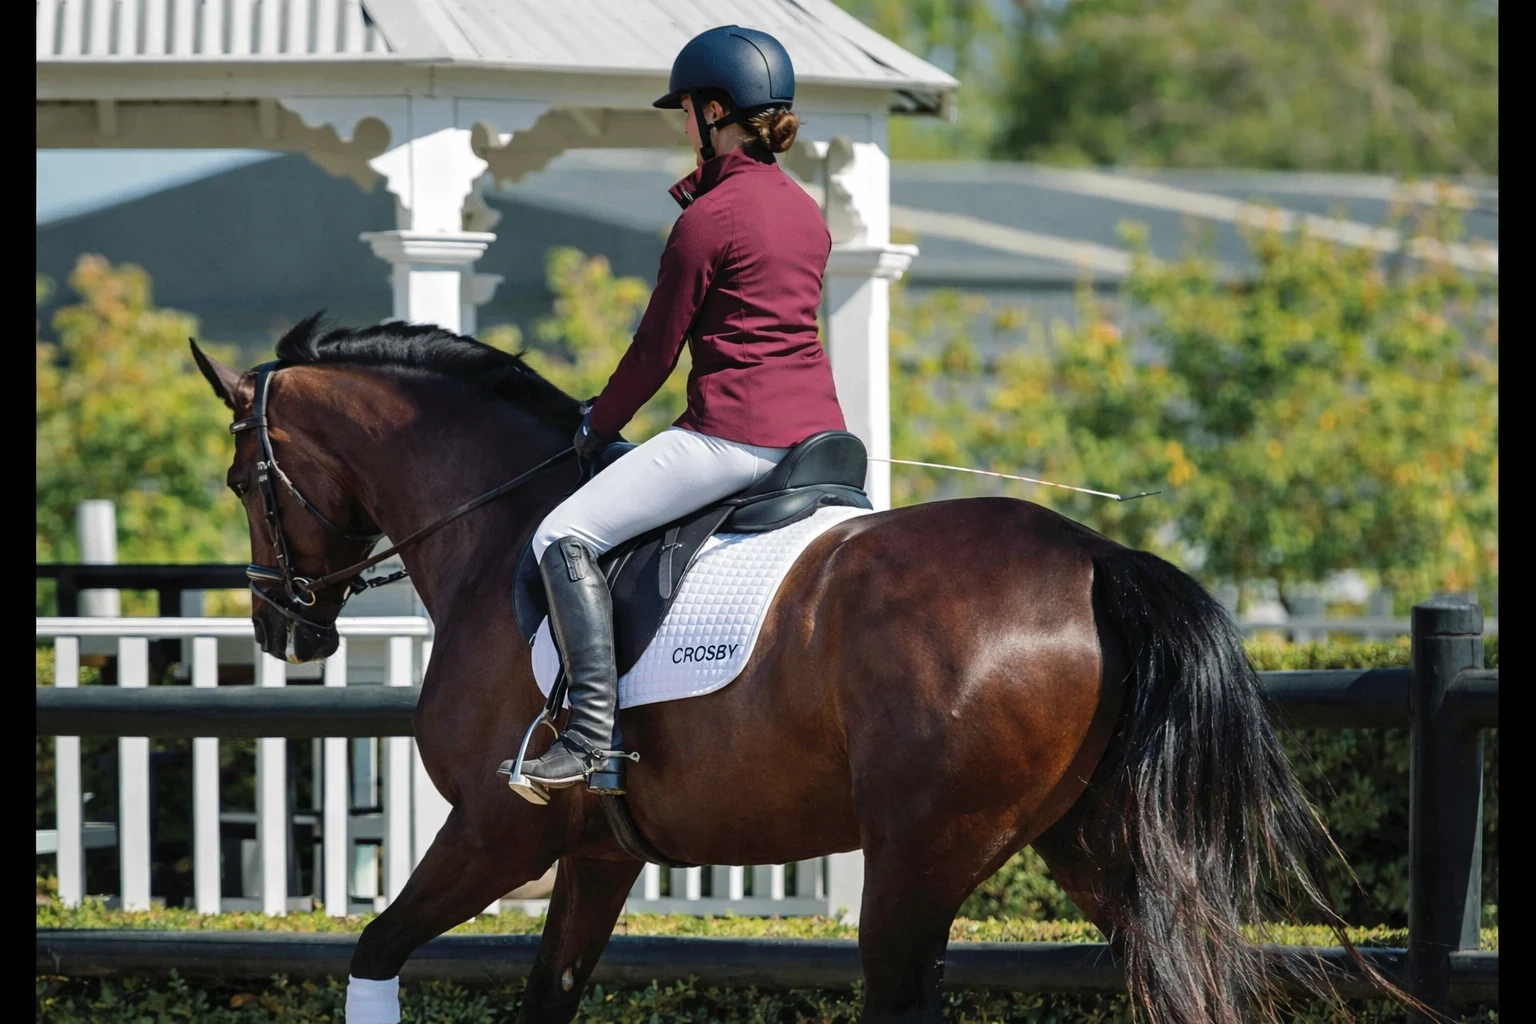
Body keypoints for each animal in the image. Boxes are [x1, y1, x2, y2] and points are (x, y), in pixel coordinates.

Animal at [190, 315, 1394, 1024]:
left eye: (246, 478)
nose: (283, 629)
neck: (498, 531)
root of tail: (1098, 559)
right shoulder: (597, 853)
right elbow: (545, 995)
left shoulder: (499, 832)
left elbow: (376, 947)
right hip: (1095, 843)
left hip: (919, 859)